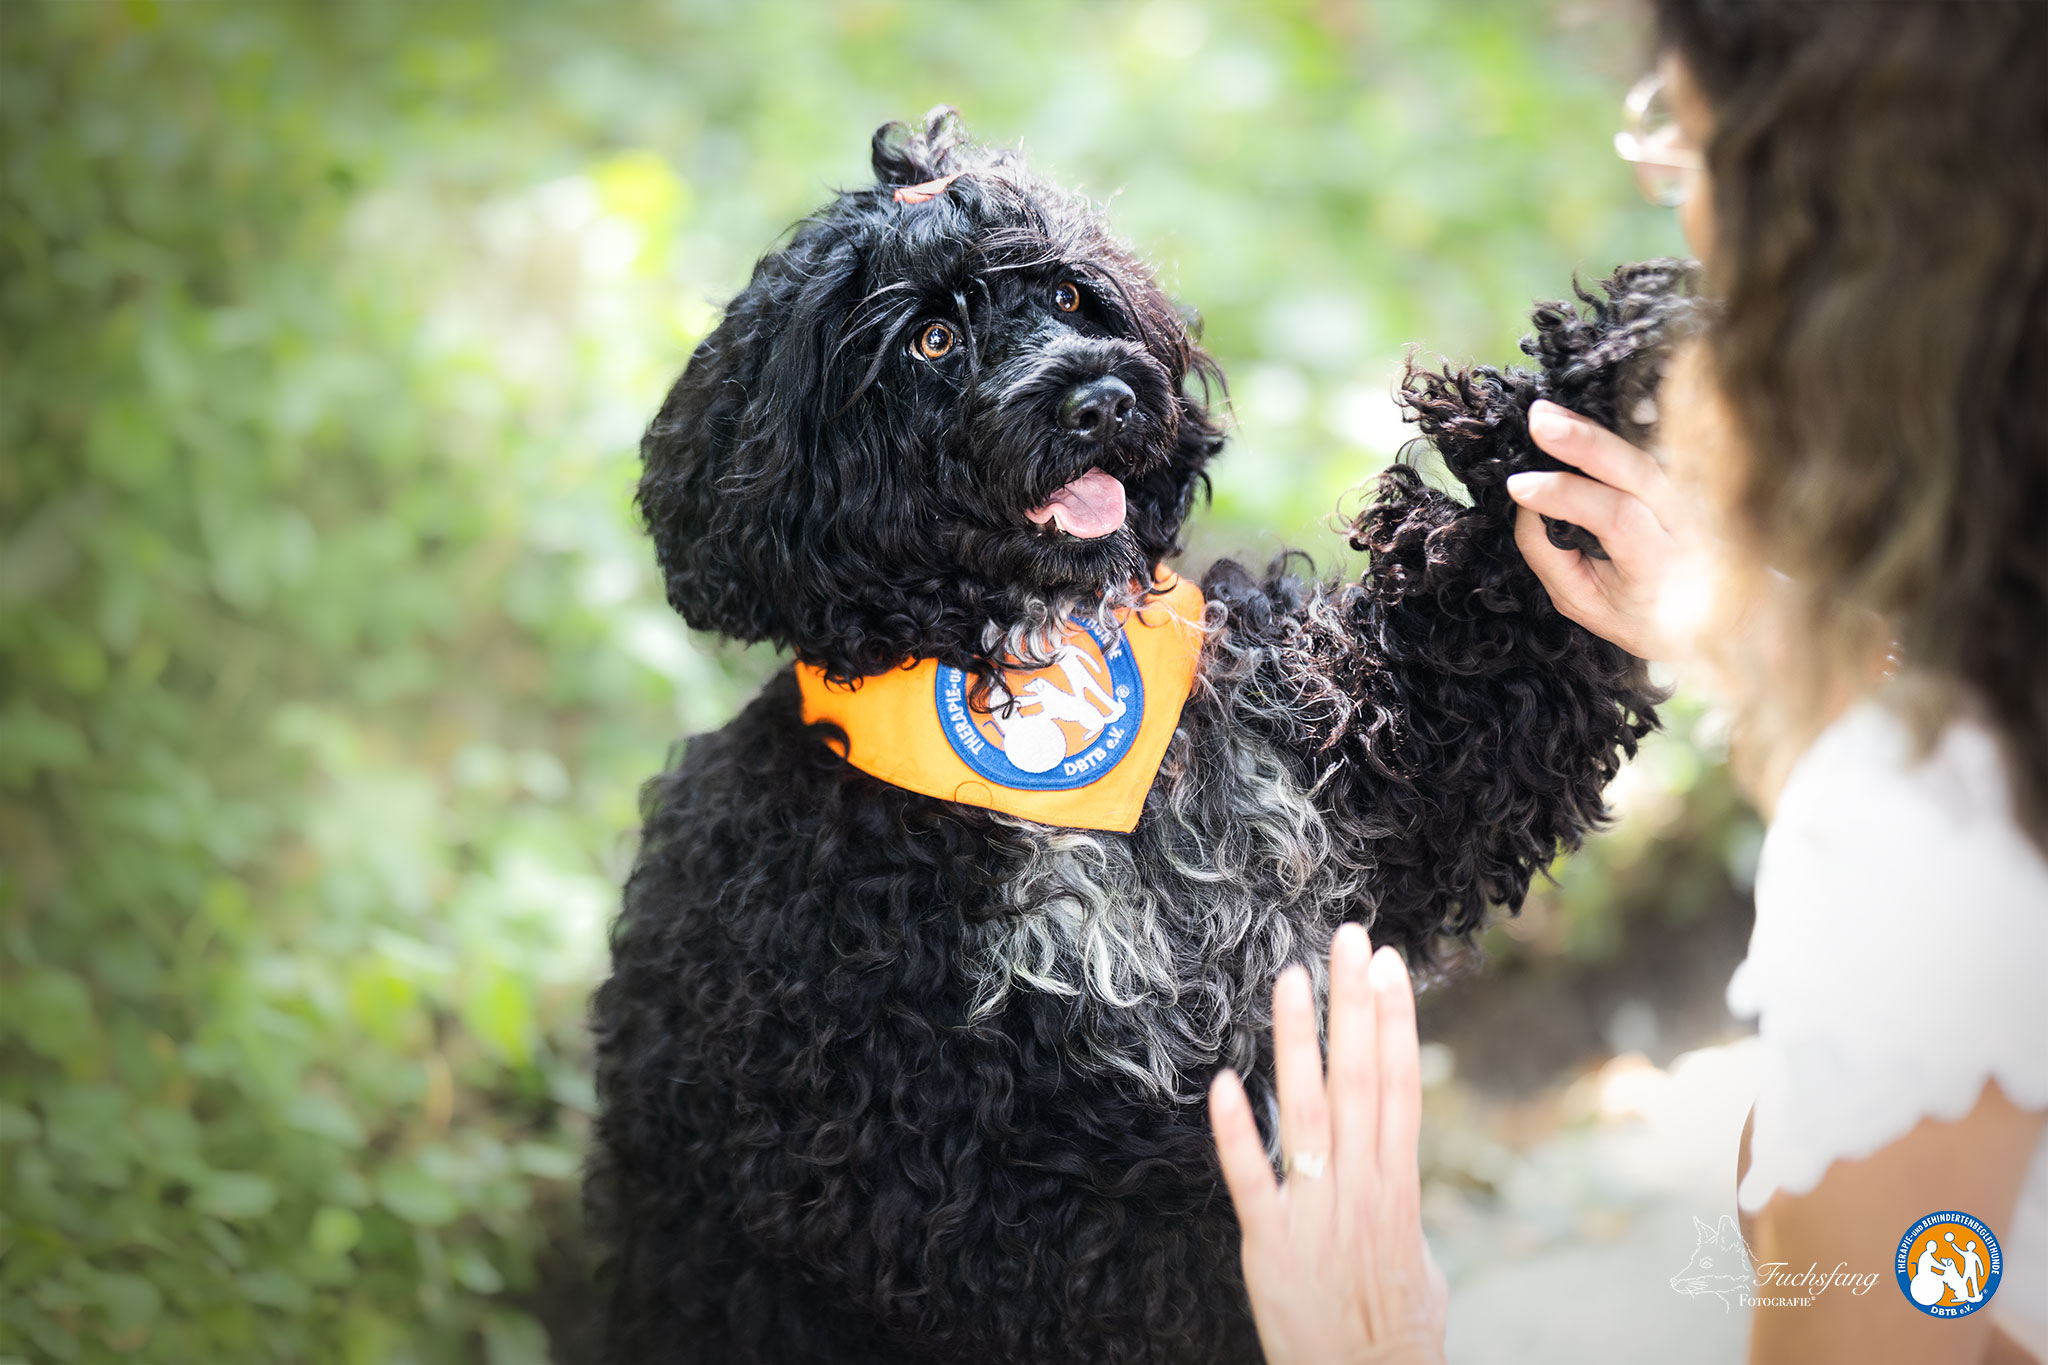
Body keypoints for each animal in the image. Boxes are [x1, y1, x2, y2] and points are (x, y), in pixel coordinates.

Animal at [589, 109, 1695, 1365]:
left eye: (1071, 297)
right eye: (929, 338)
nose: (1103, 399)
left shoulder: (1386, 773)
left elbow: (1519, 601)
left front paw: (1600, 379)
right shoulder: (952, 1179)